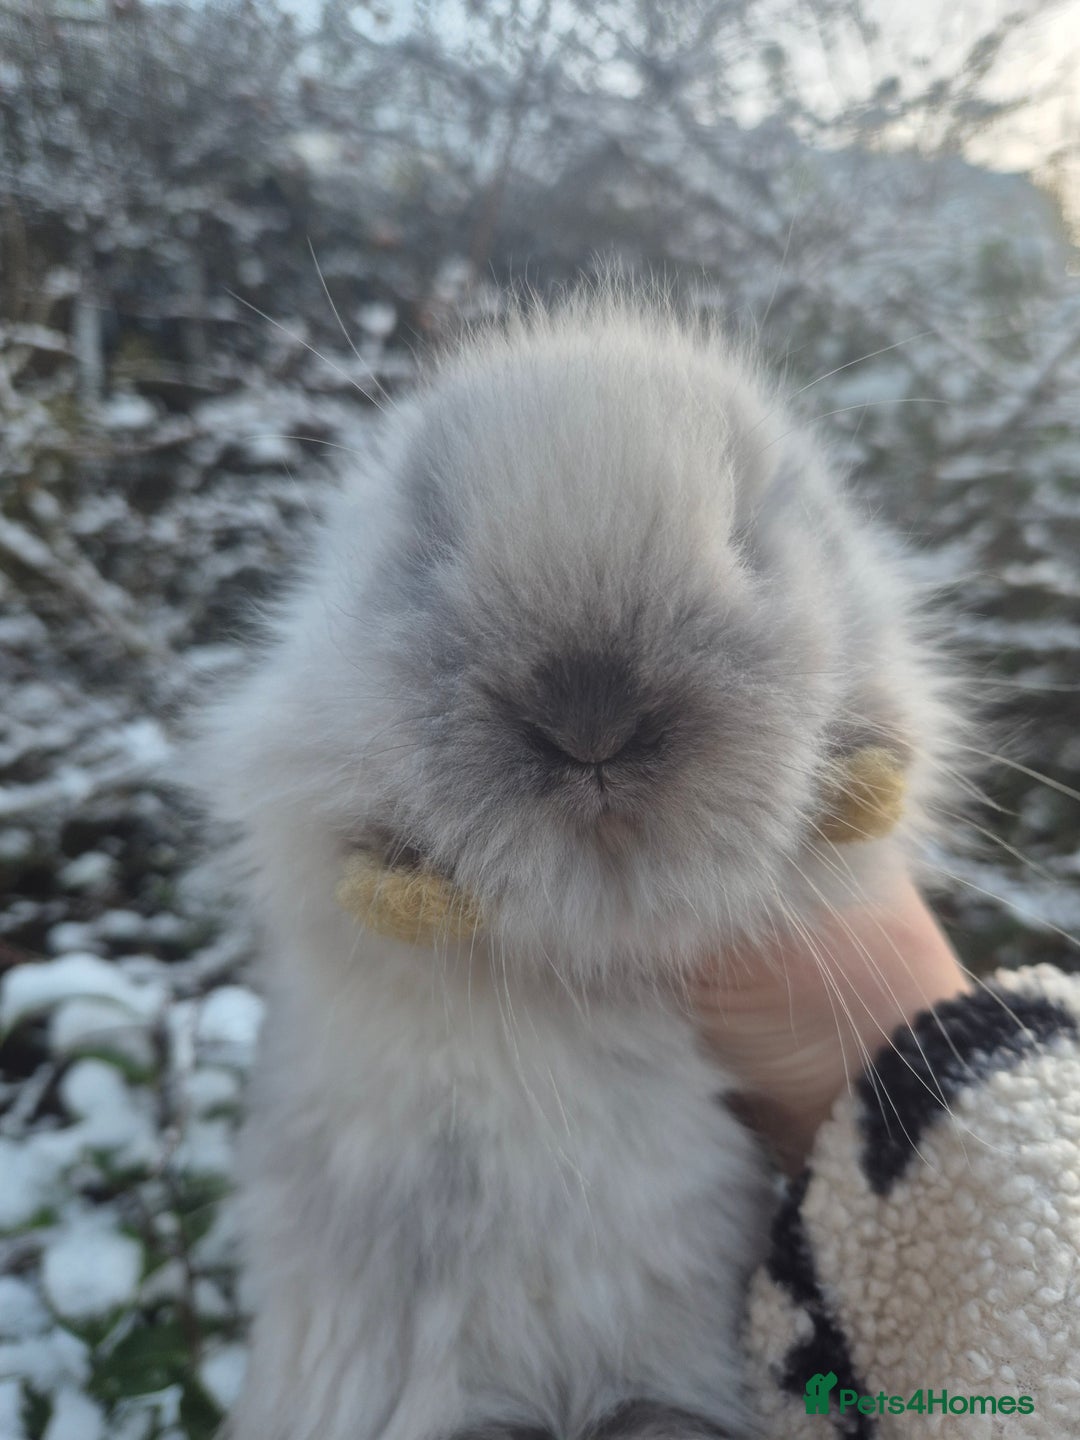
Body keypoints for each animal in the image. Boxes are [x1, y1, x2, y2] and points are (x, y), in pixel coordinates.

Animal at [192, 293, 955, 1440]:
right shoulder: (291, 796)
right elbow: (353, 881)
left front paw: (857, 789)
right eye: (430, 551)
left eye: (749, 543)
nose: (590, 717)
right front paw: (417, 898)